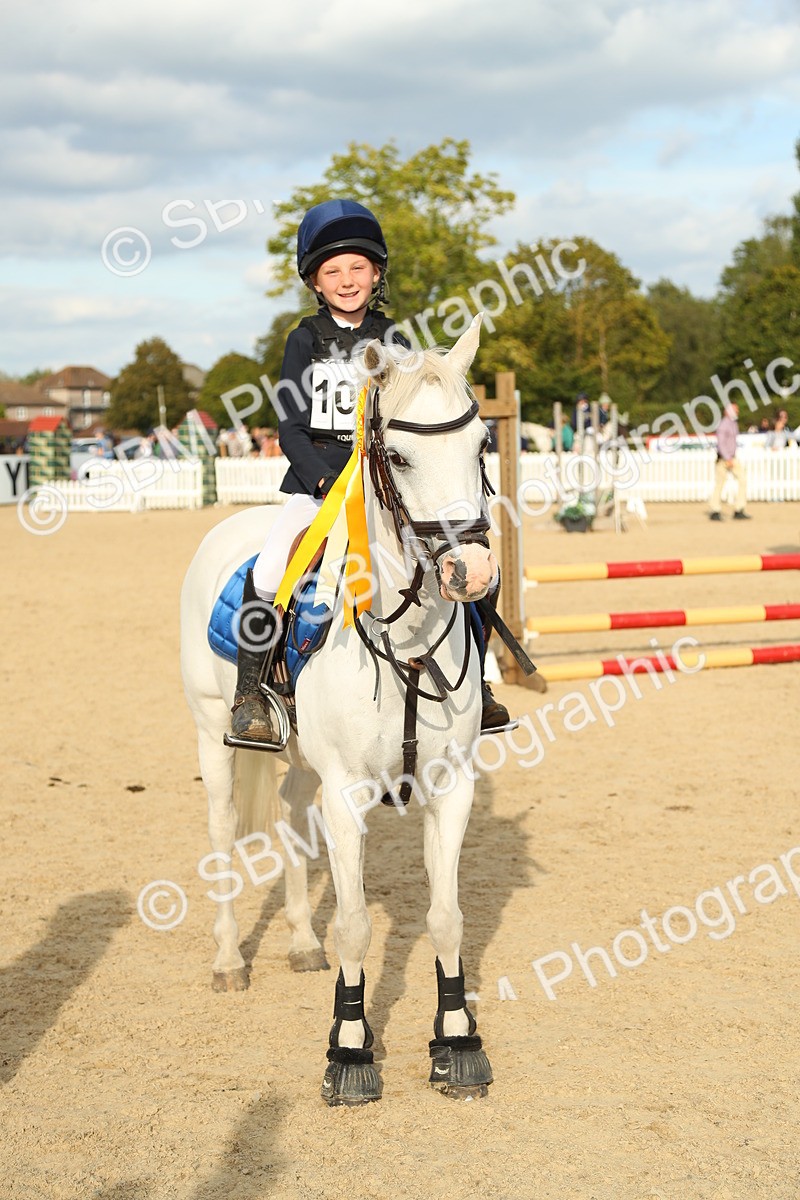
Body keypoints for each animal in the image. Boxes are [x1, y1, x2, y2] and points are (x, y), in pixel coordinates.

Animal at [180, 314, 499, 1105]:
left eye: (482, 445)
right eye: (400, 457)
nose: (471, 571)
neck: (405, 640)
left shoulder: (451, 787)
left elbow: (447, 918)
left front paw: (457, 1044)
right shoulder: (348, 795)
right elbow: (356, 925)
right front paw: (350, 1051)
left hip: (301, 765)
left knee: (291, 822)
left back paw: (299, 942)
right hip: (212, 736)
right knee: (225, 834)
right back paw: (229, 961)